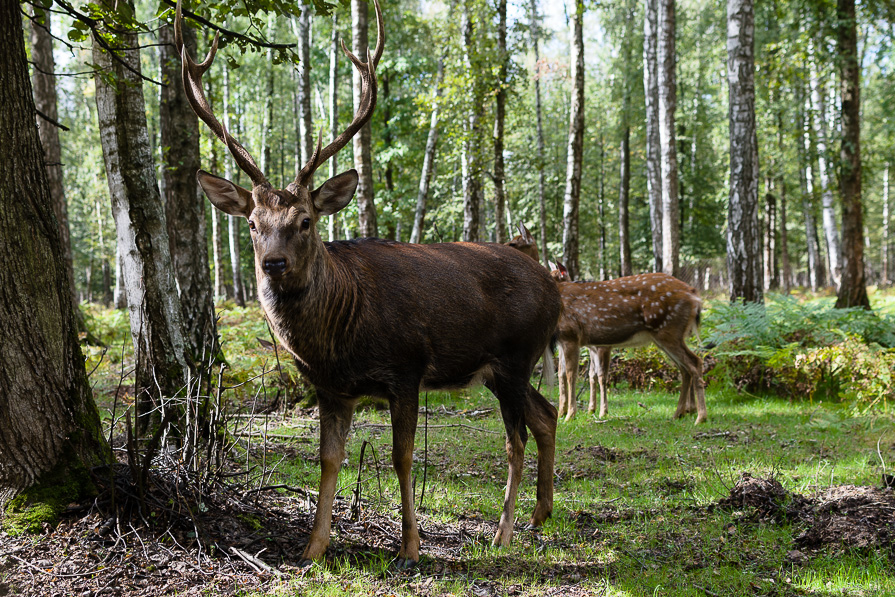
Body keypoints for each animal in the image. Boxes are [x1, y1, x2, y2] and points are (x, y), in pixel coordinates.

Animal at [173, 0, 560, 564]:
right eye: (252, 224)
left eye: (306, 221)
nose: (274, 264)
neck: (341, 334)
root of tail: (554, 285)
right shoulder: (332, 387)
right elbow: (328, 460)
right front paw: (312, 549)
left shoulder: (407, 369)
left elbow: (402, 457)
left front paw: (411, 547)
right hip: (501, 367)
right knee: (547, 415)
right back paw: (539, 516)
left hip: (515, 355)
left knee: (517, 438)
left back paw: (504, 532)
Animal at [552, 262, 708, 424]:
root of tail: (694, 294)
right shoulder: (565, 341)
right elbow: (562, 373)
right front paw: (561, 413)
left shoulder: (572, 335)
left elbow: (571, 374)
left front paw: (570, 415)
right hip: (665, 336)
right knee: (684, 368)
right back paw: (678, 414)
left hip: (669, 330)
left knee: (695, 362)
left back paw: (700, 417)